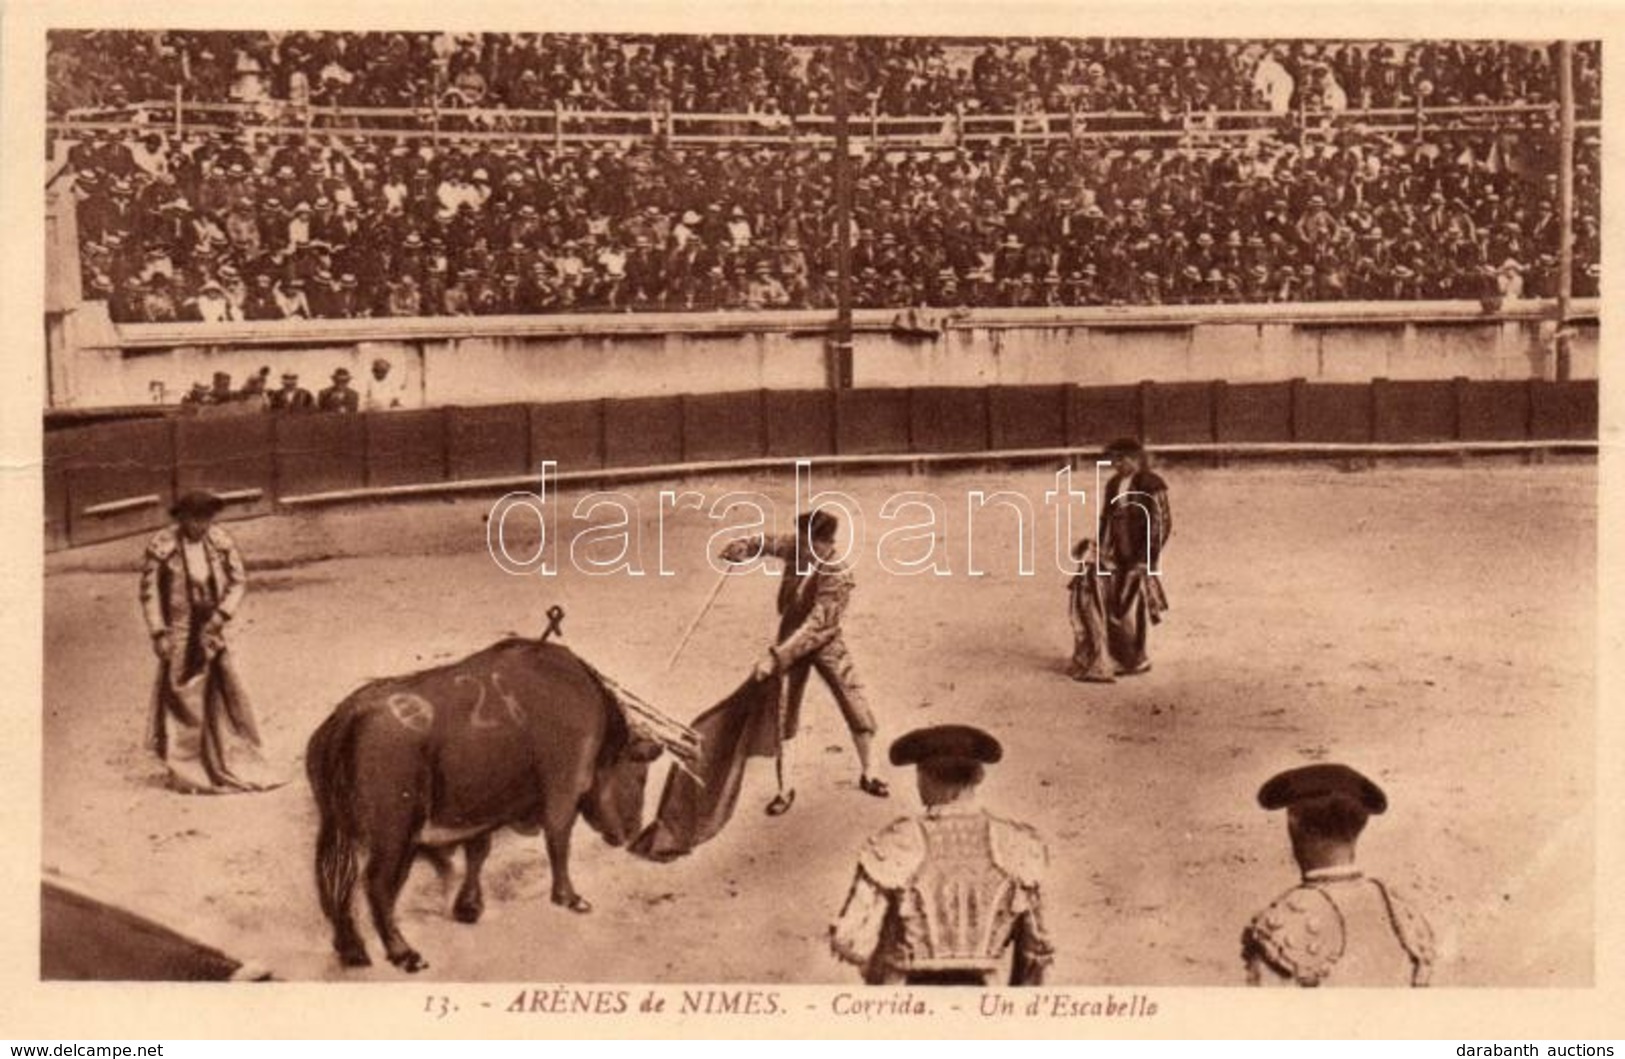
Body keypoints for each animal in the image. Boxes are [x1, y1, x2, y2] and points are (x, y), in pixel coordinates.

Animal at [305, 633, 659, 974]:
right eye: (639, 774)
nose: (632, 832)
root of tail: (346, 717)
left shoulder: (481, 813)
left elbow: (478, 853)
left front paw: (468, 907)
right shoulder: (562, 794)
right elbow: (558, 844)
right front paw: (571, 898)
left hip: (343, 832)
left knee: (339, 884)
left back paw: (352, 951)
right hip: (394, 838)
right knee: (377, 886)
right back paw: (405, 954)